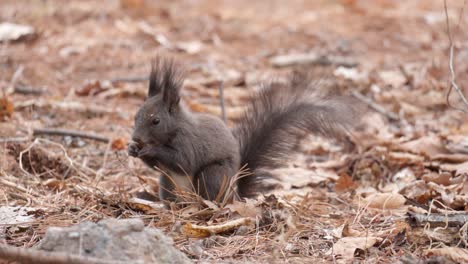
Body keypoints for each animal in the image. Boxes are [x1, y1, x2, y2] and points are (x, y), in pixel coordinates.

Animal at [128, 57, 362, 202]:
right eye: (136, 115)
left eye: (156, 121)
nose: (136, 138)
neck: (174, 129)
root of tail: (235, 195)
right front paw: (132, 150)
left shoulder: (189, 142)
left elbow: (184, 161)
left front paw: (149, 150)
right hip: (167, 183)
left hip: (213, 175)